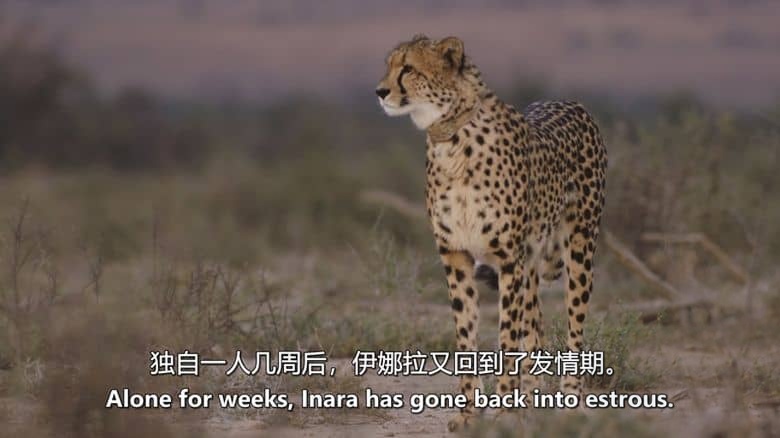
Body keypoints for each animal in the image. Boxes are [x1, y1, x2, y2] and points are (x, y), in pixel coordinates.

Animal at [375, 35, 607, 431]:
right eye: (389, 66)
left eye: (408, 68)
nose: (380, 91)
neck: (451, 139)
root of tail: (571, 102)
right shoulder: (456, 255)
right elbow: (467, 335)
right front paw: (471, 412)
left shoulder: (507, 259)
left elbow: (506, 338)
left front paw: (504, 412)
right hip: (532, 263)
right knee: (537, 330)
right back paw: (531, 401)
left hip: (578, 248)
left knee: (574, 327)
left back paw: (569, 402)